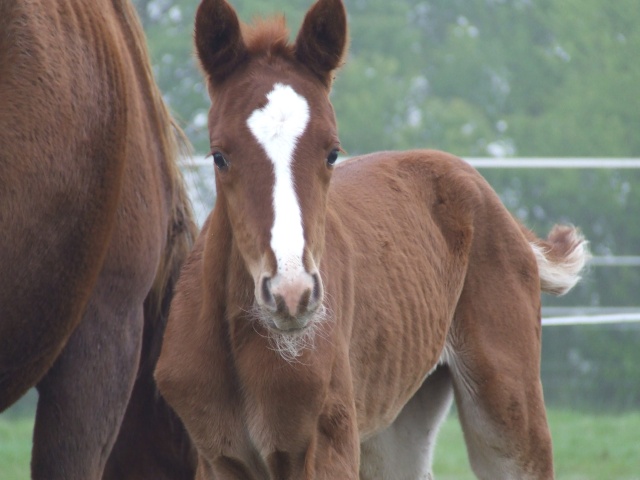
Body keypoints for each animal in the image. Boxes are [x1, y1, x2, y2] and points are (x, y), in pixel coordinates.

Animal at [156, 0, 592, 480]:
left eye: (332, 152)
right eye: (219, 156)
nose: (292, 294)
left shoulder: (329, 447)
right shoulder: (217, 457)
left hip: (508, 410)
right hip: (397, 423)